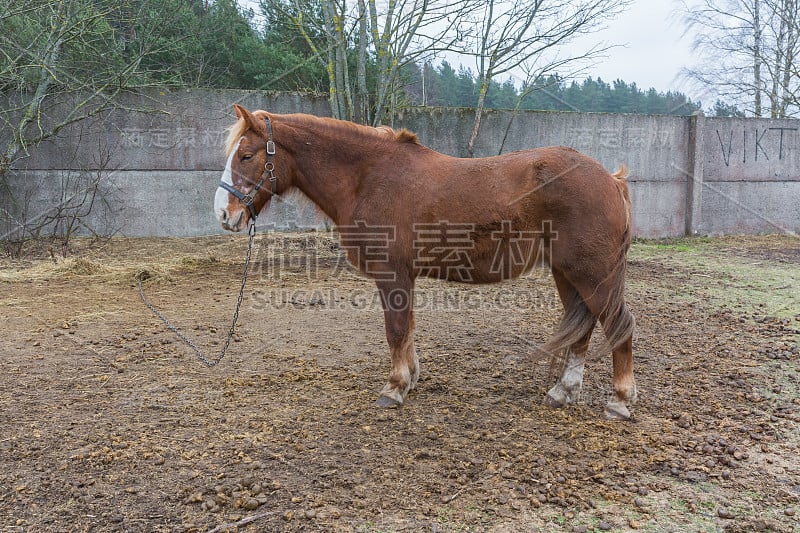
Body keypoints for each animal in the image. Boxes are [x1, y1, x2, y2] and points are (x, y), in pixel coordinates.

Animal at [212, 104, 636, 420]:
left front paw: (394, 388)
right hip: (569, 274)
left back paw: (619, 401)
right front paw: (411, 378)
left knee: (618, 325)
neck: (369, 178)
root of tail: (610, 179)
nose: (223, 214)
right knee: (582, 329)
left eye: (247, 155)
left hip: (592, 275)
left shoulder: (391, 274)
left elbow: (396, 330)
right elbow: (408, 329)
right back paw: (563, 391)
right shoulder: (405, 277)